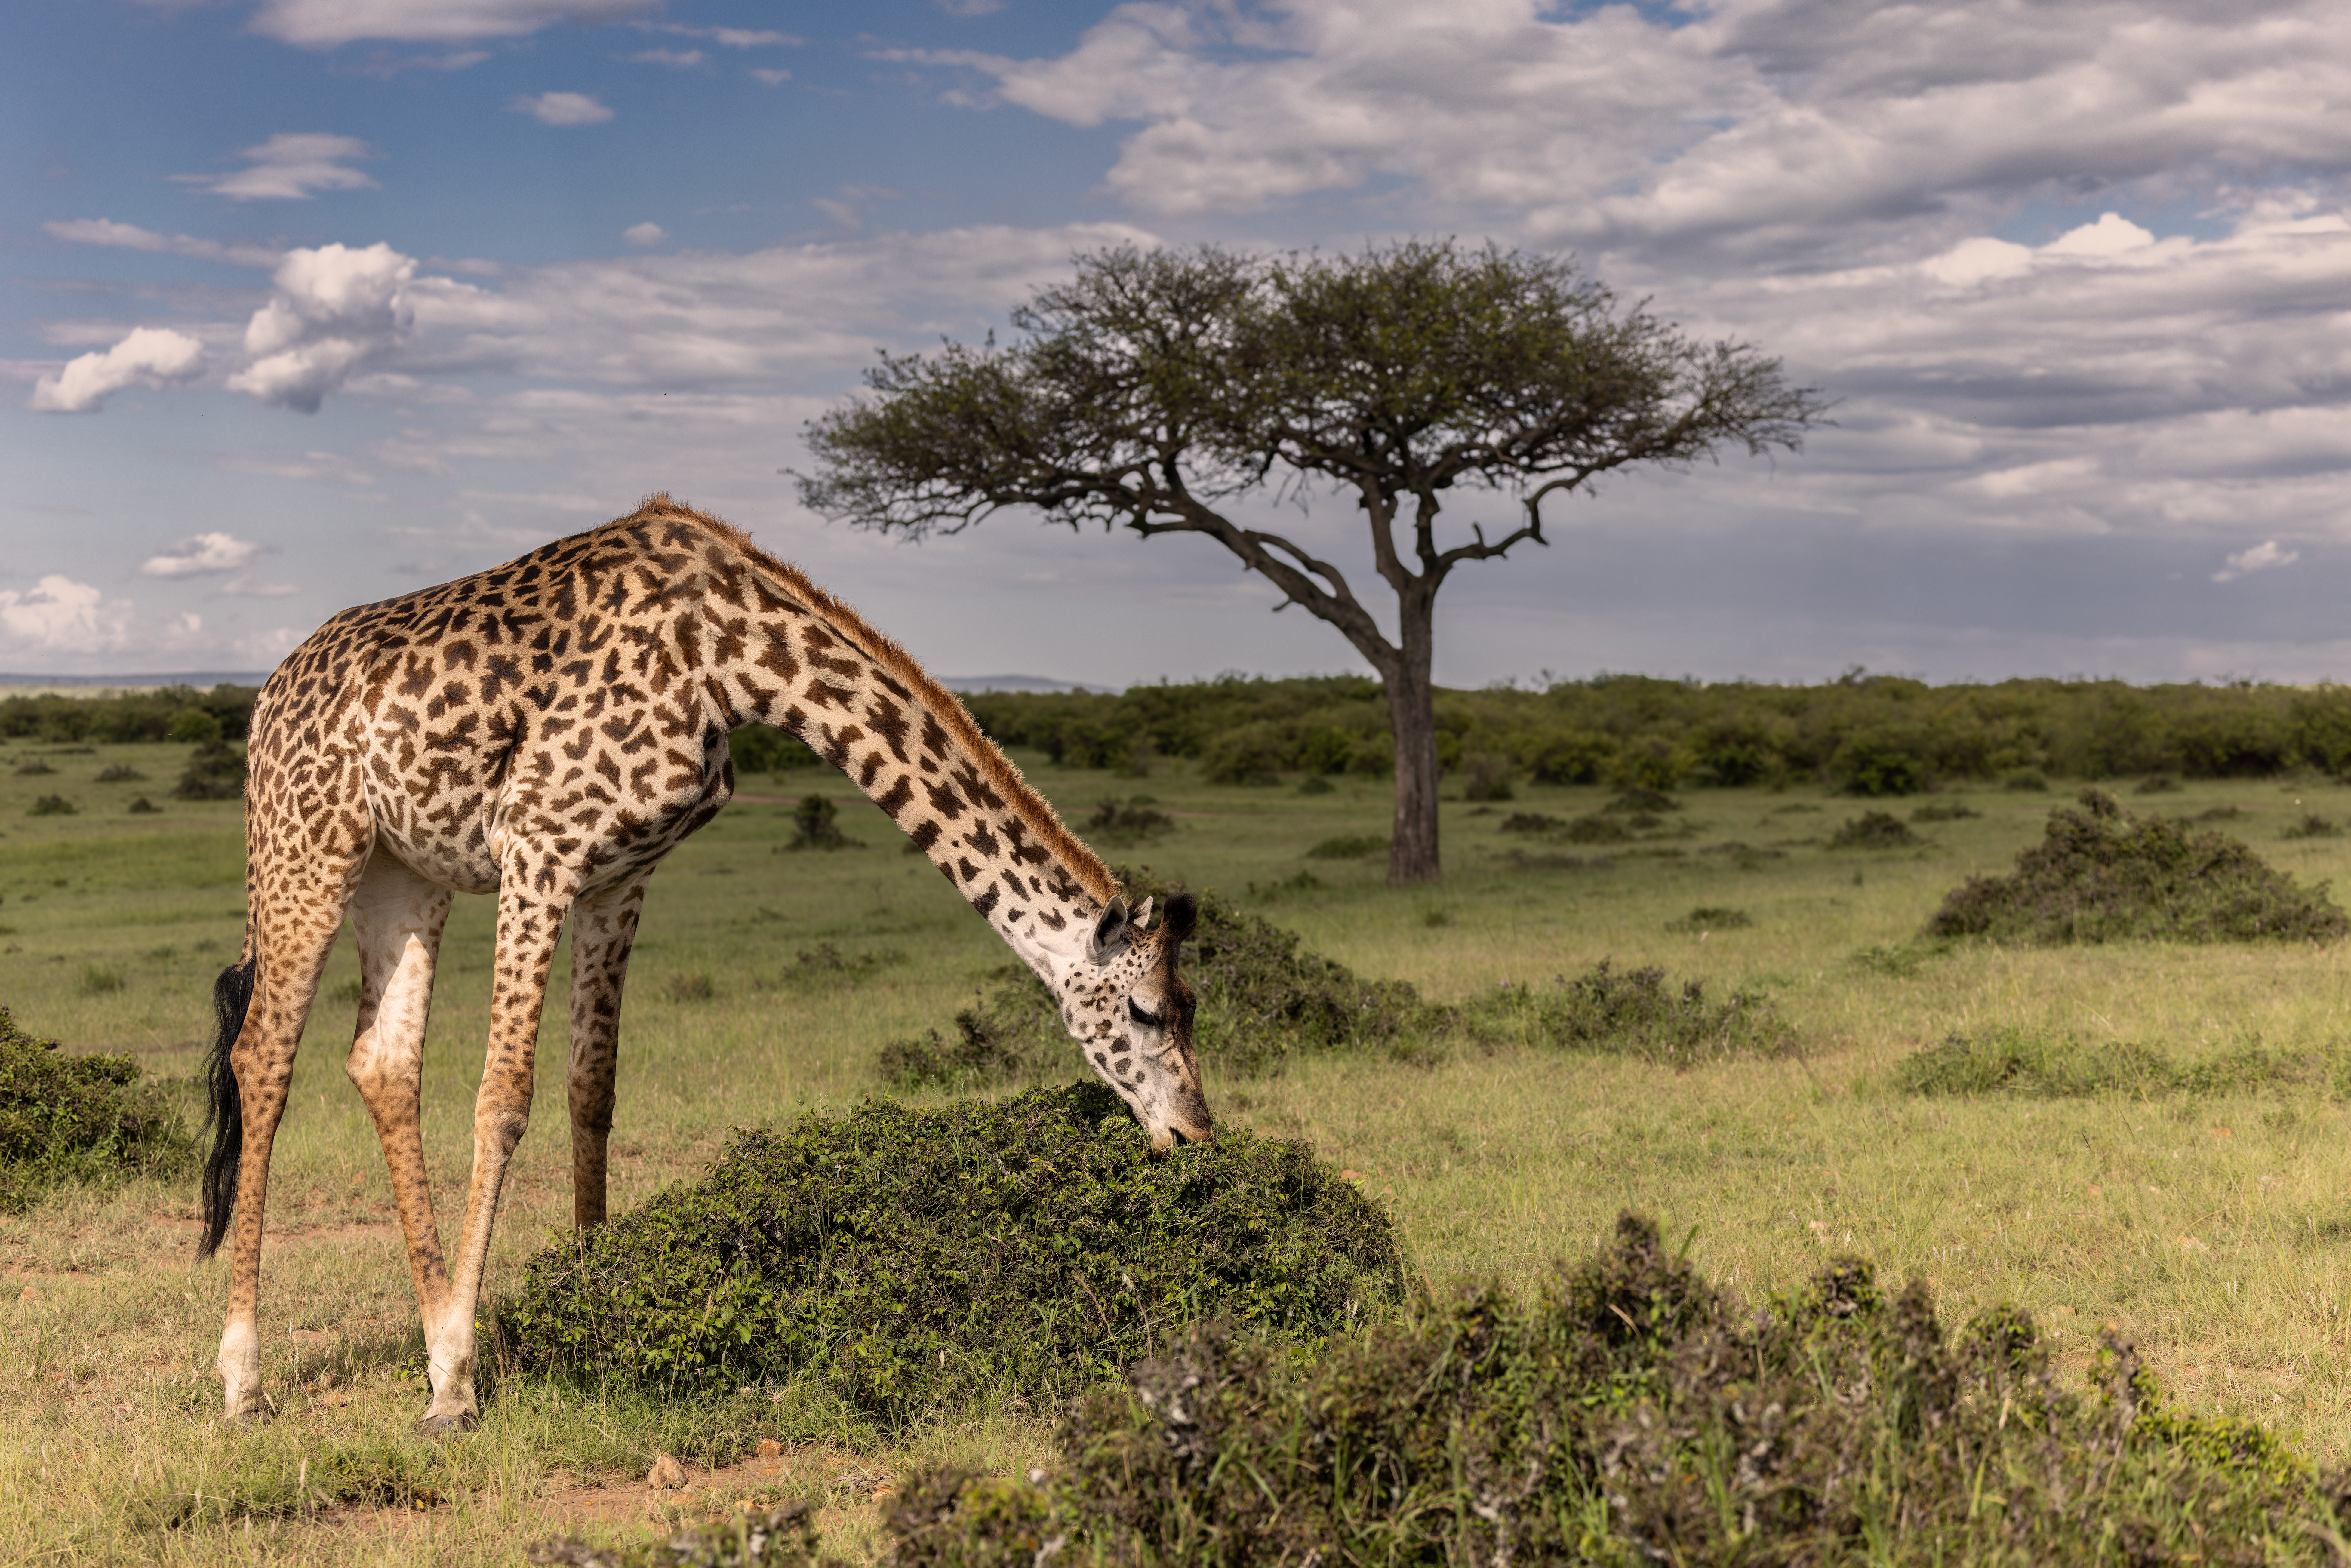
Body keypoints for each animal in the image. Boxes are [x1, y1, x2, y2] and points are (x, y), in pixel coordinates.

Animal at [195, 495, 1212, 1432]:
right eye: (1148, 1010)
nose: (1196, 1133)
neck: (727, 655)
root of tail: (267, 697)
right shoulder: (540, 846)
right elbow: (504, 1096)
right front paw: (456, 1389)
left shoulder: (620, 874)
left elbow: (591, 1087)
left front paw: (589, 1306)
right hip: (305, 848)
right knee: (264, 1057)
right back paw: (246, 1380)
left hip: (402, 873)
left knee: (382, 1062)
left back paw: (422, 1325)